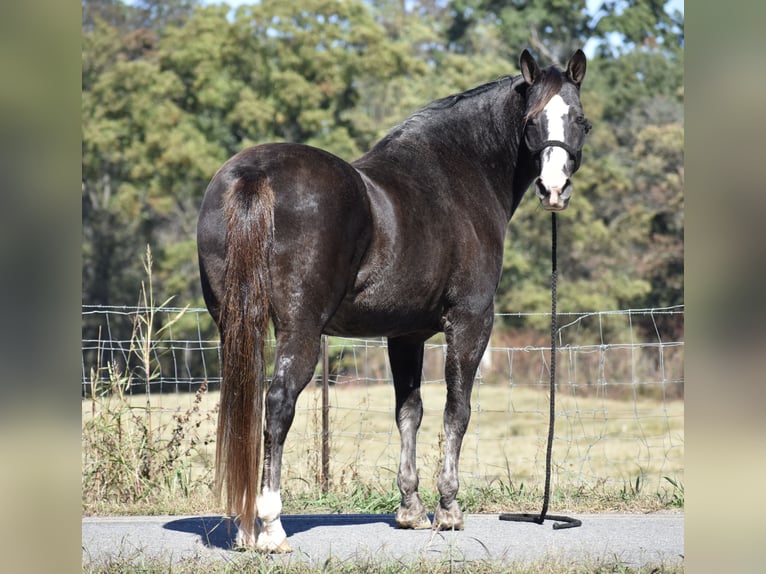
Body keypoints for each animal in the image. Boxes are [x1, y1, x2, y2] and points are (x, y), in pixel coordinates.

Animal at [197, 49, 589, 552]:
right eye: (531, 119)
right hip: (299, 329)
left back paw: (245, 529)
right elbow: (456, 411)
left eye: (578, 119)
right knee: (278, 404)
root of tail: (254, 174)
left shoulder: (405, 334)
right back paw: (270, 528)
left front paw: (410, 509)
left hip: (233, 324)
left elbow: (410, 412)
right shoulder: (471, 321)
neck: (459, 175)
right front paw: (448, 509)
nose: (554, 189)